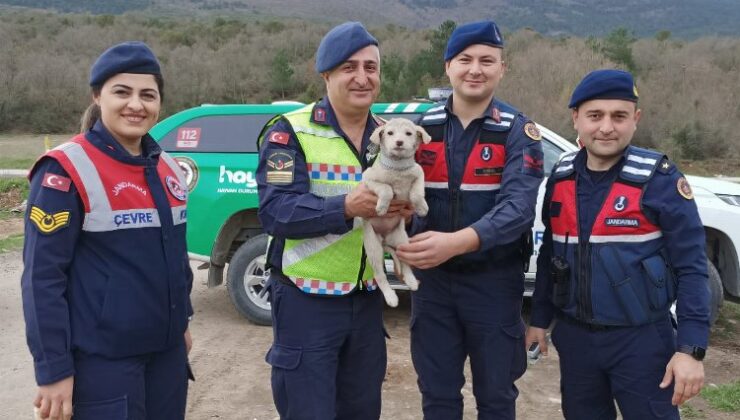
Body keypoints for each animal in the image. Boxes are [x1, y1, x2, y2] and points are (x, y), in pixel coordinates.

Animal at [362, 116, 430, 306]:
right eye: (390, 133)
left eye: (408, 133)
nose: (399, 142)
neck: (398, 168)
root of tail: (385, 239)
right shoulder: (368, 179)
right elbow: (386, 189)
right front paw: (382, 208)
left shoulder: (419, 173)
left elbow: (416, 192)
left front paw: (422, 208)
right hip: (374, 249)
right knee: (380, 275)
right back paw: (391, 297)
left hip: (402, 241)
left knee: (405, 262)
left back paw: (411, 281)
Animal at [528, 69, 712, 420]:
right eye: (596, 115)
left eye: (618, 115)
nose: (606, 131)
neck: (599, 168)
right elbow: (547, 257)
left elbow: (691, 265)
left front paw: (688, 364)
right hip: (583, 371)